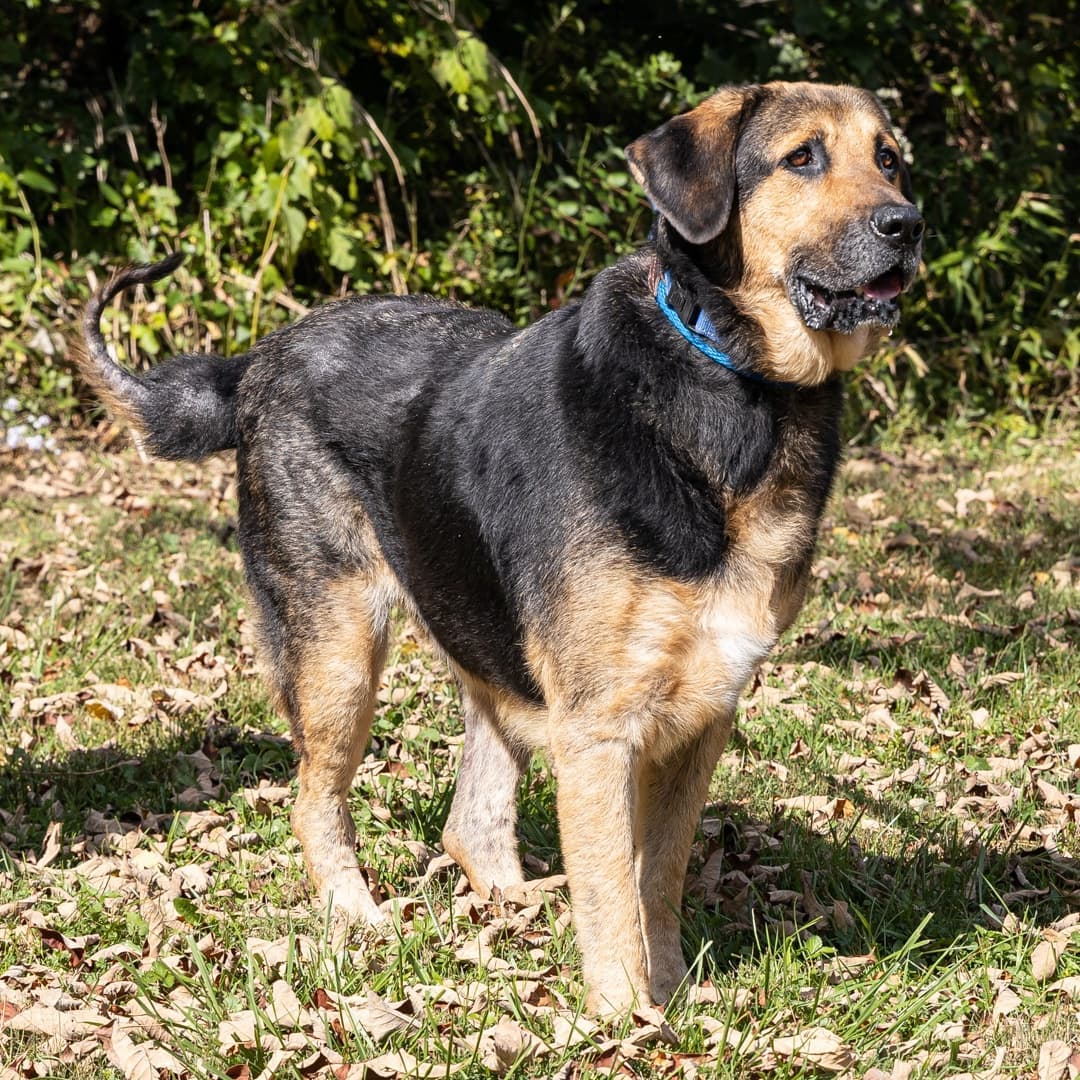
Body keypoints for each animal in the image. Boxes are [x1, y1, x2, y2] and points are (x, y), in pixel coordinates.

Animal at [78, 82, 920, 1010]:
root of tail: (255, 362)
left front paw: (670, 992)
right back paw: (357, 919)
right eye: (802, 157)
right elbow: (612, 889)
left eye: (889, 159)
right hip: (339, 654)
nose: (907, 224)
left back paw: (515, 911)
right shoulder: (600, 727)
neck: (733, 383)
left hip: (487, 648)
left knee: (470, 823)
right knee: (314, 799)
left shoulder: (704, 713)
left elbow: (655, 878)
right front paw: (626, 1018)